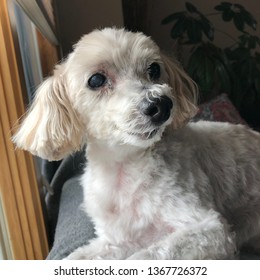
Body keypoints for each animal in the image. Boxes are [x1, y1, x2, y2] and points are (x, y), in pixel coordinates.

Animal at [12, 27, 260, 260]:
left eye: (154, 69)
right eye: (96, 80)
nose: (161, 104)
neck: (124, 164)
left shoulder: (210, 228)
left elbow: (146, 256)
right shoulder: (118, 241)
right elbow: (77, 257)